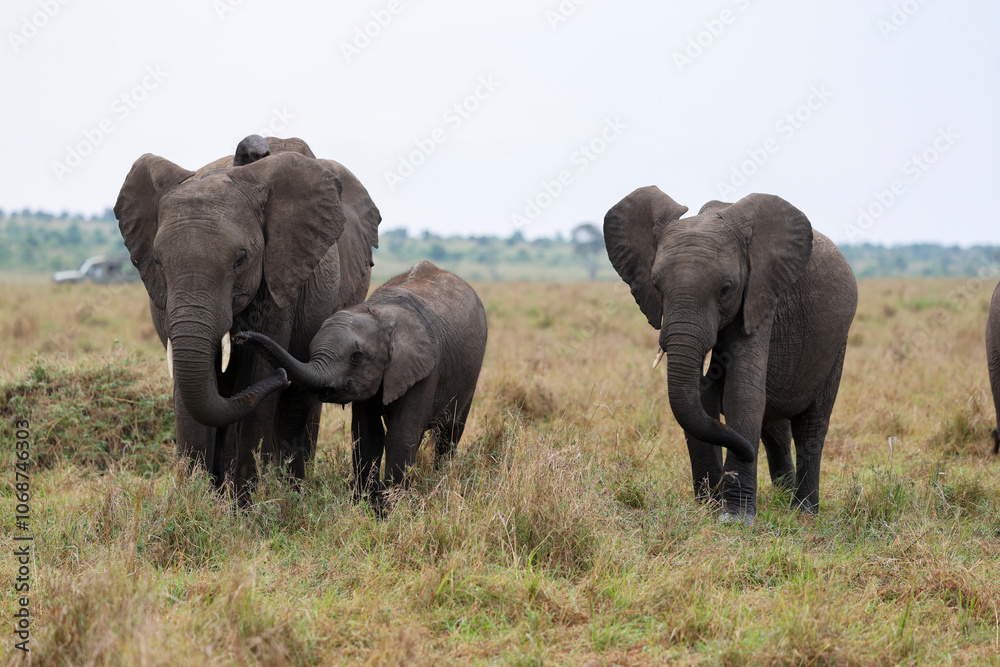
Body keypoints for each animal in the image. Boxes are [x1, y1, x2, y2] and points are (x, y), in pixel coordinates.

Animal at [114, 135, 381, 497]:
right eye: (157, 262)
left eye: (241, 260)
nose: (241, 336)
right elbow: (192, 387)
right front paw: (193, 501)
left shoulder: (279, 283)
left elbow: (257, 374)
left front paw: (243, 505)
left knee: (296, 403)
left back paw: (291, 491)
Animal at [234, 260, 488, 506]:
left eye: (356, 357)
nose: (240, 336)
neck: (381, 315)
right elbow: (368, 435)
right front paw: (366, 506)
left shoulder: (425, 368)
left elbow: (401, 435)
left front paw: (391, 509)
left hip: (471, 373)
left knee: (450, 432)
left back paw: (442, 479)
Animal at [604, 187, 857, 520]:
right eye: (656, 286)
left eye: (726, 289)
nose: (744, 454)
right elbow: (703, 396)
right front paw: (708, 508)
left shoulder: (761, 295)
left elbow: (743, 392)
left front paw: (734, 516)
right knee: (774, 428)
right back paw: (783, 495)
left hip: (836, 344)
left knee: (811, 427)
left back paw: (803, 512)